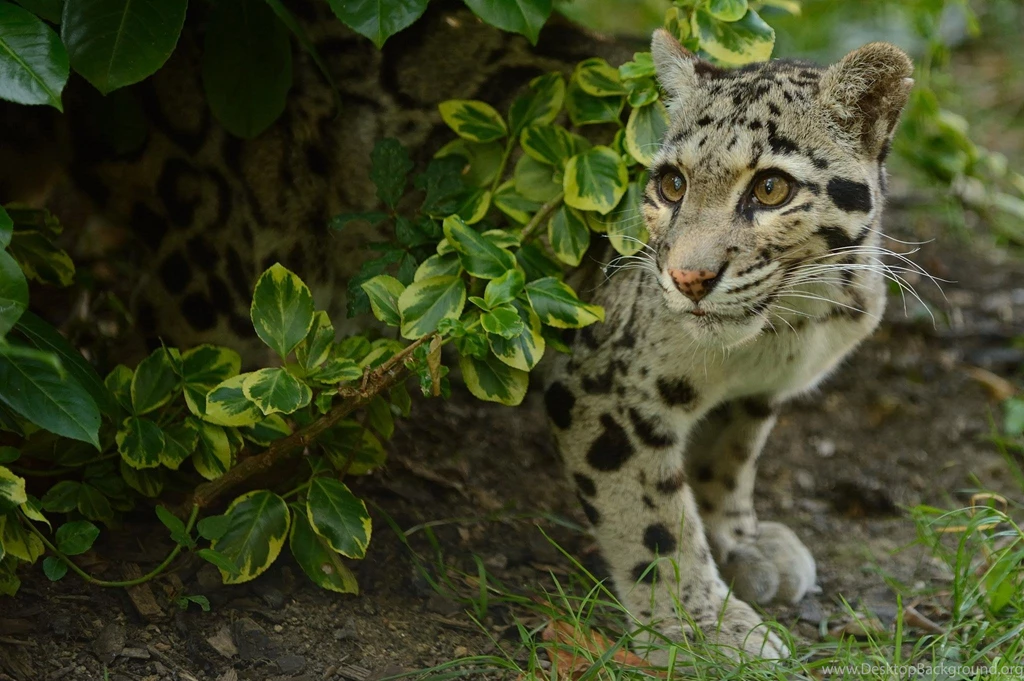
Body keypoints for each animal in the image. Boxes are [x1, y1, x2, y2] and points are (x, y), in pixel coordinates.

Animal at [545, 30, 913, 660]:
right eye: (672, 184)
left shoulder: (755, 394)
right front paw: (701, 629)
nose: (688, 277)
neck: (785, 328)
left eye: (771, 188)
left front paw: (740, 543)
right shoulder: (601, 389)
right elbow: (654, 518)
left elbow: (729, 455)